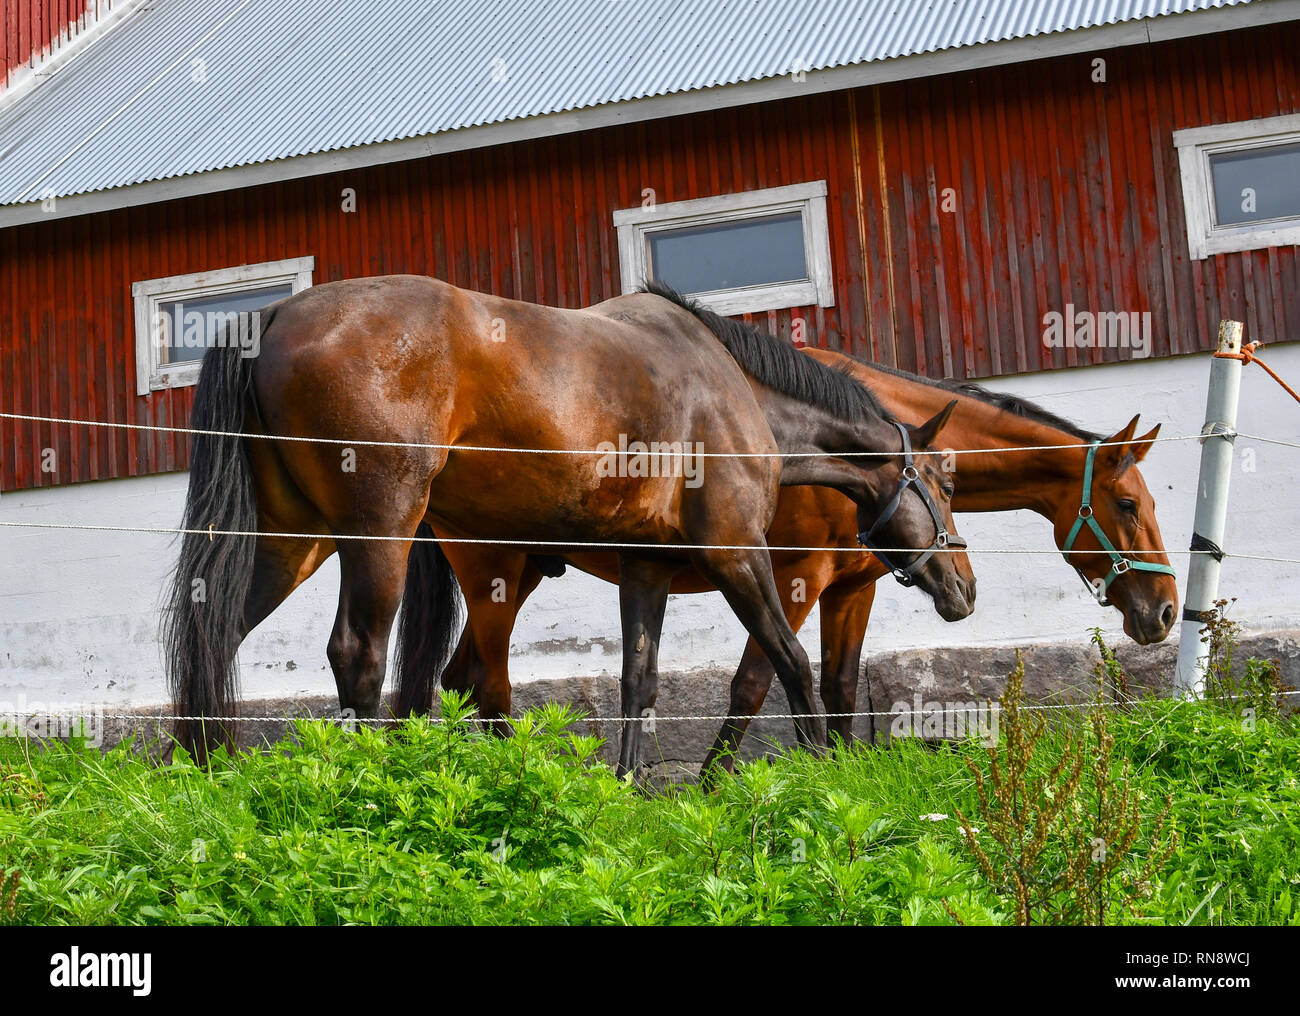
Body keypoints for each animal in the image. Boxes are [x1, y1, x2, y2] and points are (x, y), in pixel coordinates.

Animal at [163, 276, 975, 776]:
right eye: (942, 482)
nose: (964, 585)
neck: (730, 389)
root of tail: (271, 316)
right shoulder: (738, 556)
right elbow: (790, 665)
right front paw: (824, 778)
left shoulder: (646, 567)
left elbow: (638, 683)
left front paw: (625, 791)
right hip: (379, 535)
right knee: (361, 656)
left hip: (293, 542)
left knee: (215, 633)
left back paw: (198, 782)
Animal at [418, 341, 1177, 778]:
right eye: (1128, 504)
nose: (1166, 610)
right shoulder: (792, 577)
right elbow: (755, 685)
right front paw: (717, 787)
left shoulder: (851, 588)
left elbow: (839, 687)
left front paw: (844, 779)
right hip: (495, 571)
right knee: (484, 686)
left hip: (519, 577)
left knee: (456, 683)